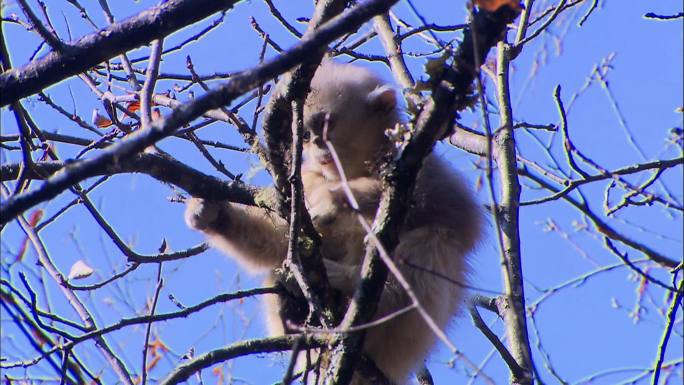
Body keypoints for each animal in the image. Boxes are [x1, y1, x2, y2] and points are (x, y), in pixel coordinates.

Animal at [184, 61, 484, 382]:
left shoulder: (423, 164)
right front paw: (213, 213)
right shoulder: (303, 180)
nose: (317, 146)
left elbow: (457, 213)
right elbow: (285, 239)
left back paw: (353, 287)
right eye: (304, 135)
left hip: (404, 337)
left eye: (327, 124)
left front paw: (335, 199)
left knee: (435, 239)